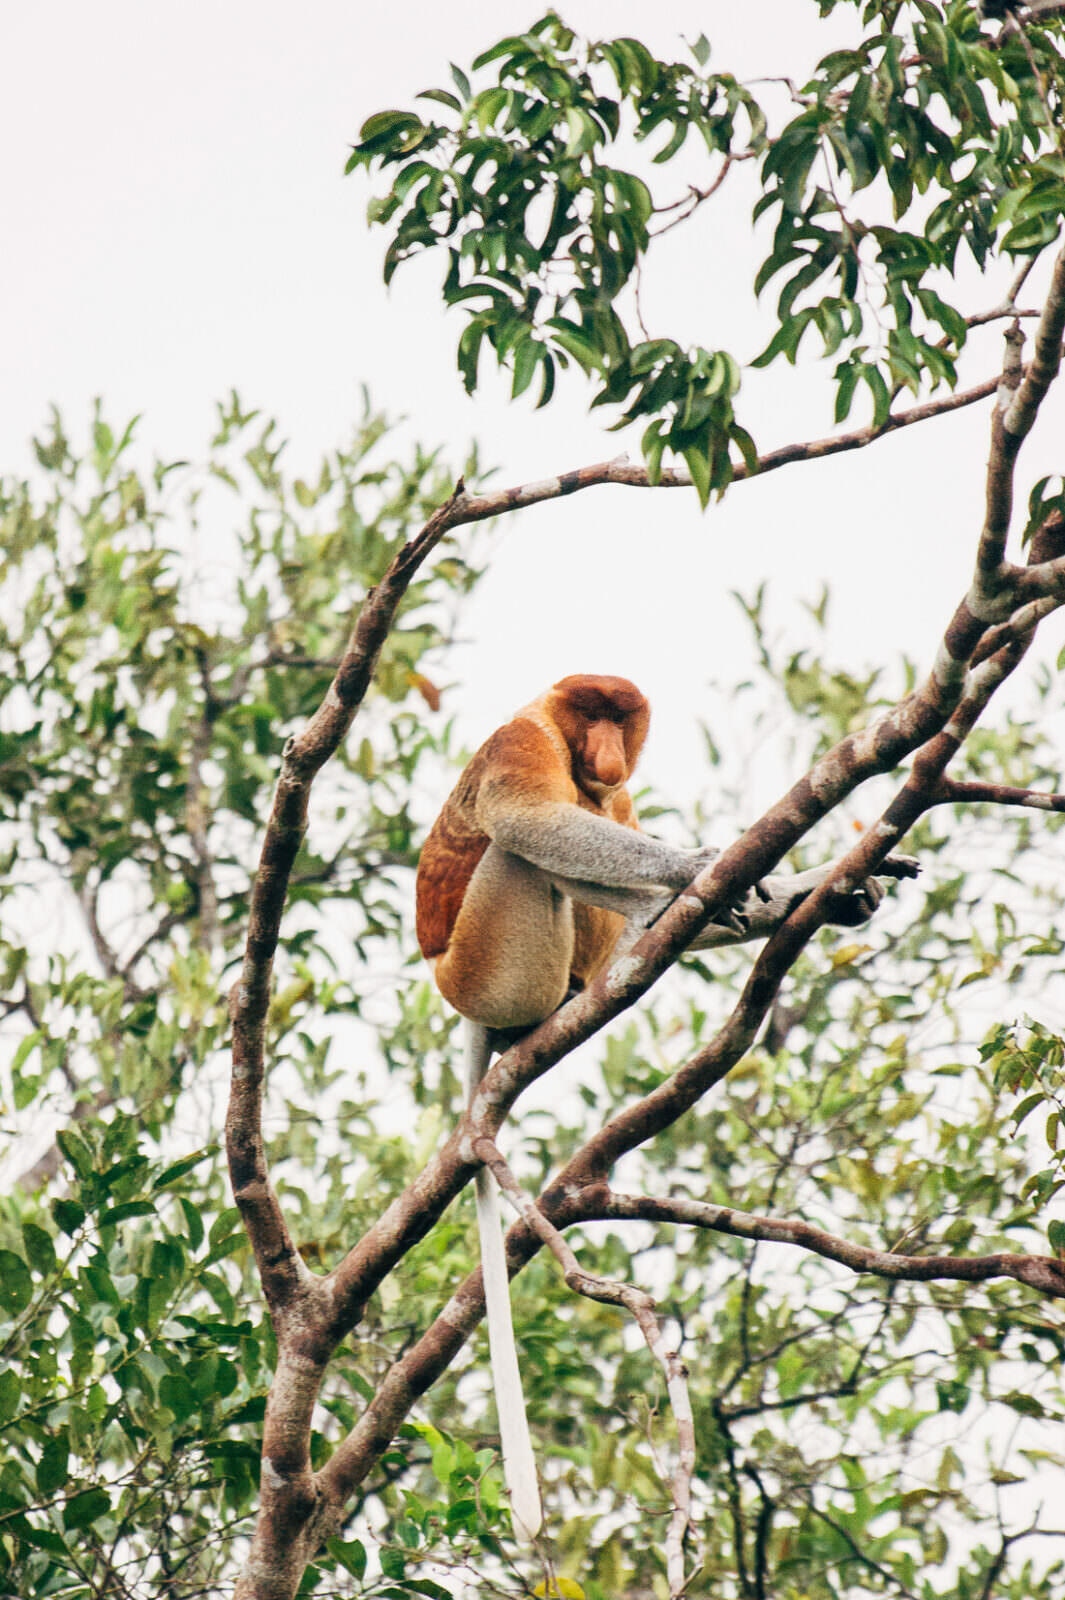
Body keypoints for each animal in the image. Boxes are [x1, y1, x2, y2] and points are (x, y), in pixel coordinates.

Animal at [415, 674, 917, 1540]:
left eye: (622, 719)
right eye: (590, 714)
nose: (607, 750)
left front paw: (821, 890)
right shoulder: (520, 744)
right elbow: (526, 820)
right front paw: (698, 865)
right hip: (490, 963)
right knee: (524, 850)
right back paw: (657, 911)